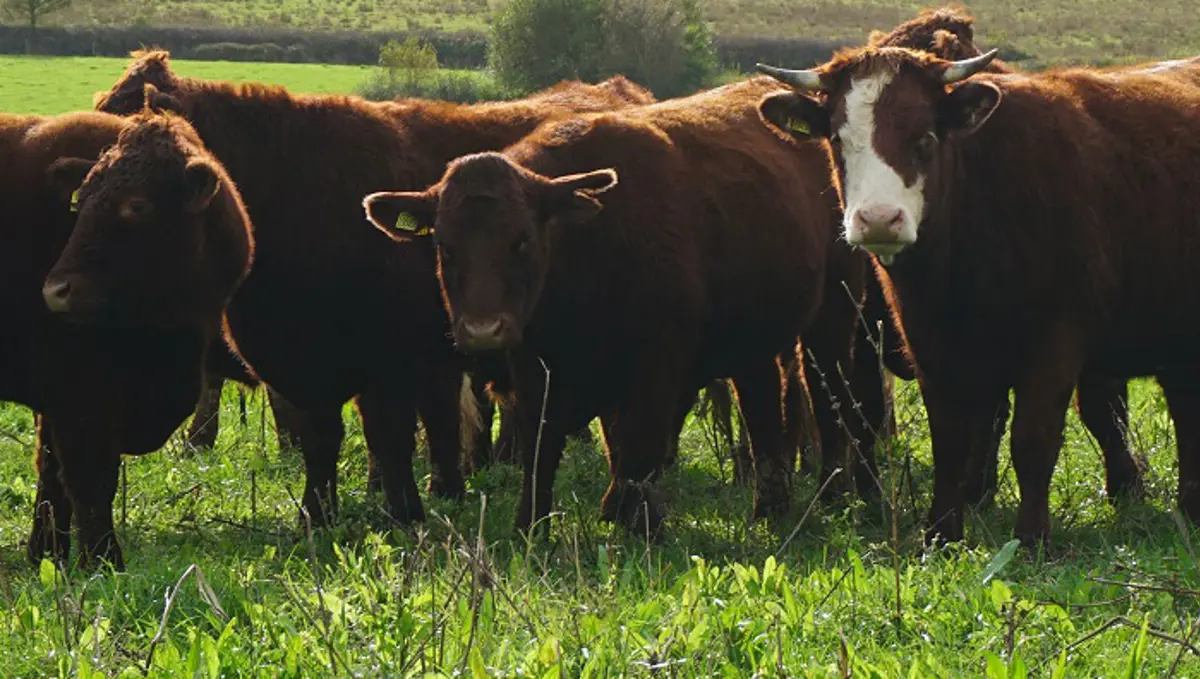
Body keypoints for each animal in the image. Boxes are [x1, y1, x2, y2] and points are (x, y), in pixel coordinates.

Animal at [93, 50, 658, 528]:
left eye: (137, 194)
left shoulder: (391, 362)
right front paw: (318, 515)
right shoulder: (302, 364)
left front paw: (404, 510)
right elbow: (322, 438)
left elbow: (389, 436)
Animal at [363, 77, 877, 535]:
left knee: (828, 396)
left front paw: (640, 524)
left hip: (832, 316)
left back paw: (833, 493)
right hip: (755, 340)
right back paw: (771, 505)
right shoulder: (536, 368)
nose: (482, 329)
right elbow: (542, 449)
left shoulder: (657, 364)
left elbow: (640, 446)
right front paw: (532, 526)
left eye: (522, 240)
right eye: (444, 247)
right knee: (763, 404)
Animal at [754, 43, 1200, 545]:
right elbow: (950, 441)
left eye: (926, 138)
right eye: (837, 140)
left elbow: (1033, 439)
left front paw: (1032, 537)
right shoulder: (928, 342)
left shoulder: (1055, 341)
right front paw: (941, 533)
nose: (878, 220)